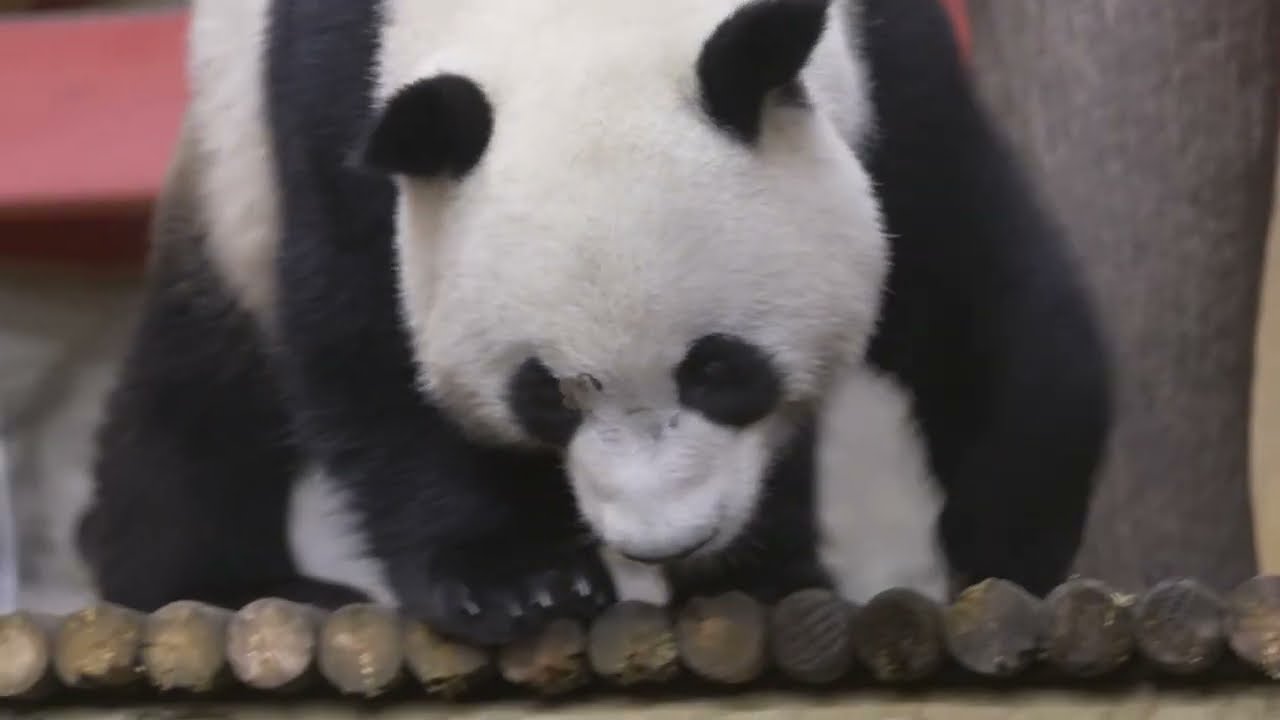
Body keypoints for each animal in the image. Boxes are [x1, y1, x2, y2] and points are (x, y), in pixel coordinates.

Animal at [76, 0, 1111, 647]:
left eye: (721, 370)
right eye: (544, 396)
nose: (664, 542)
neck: (584, 23)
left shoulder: (880, 68)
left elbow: (970, 289)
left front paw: (1006, 554)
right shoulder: (338, 102)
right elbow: (363, 331)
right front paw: (515, 580)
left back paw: (770, 568)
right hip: (229, 161)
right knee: (209, 386)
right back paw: (214, 578)